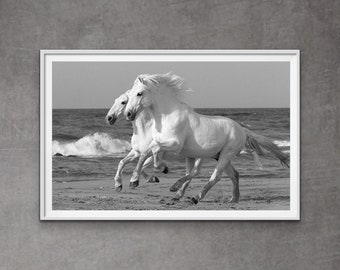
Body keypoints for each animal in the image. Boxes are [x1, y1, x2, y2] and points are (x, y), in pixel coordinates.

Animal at [123, 73, 288, 204]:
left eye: (139, 93)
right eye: (129, 96)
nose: (128, 114)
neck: (167, 116)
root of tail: (242, 129)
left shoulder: (175, 145)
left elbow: (154, 153)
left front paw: (162, 168)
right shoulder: (158, 143)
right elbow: (146, 153)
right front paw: (134, 181)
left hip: (226, 154)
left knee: (215, 176)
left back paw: (193, 197)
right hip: (218, 156)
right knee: (233, 175)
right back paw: (232, 199)